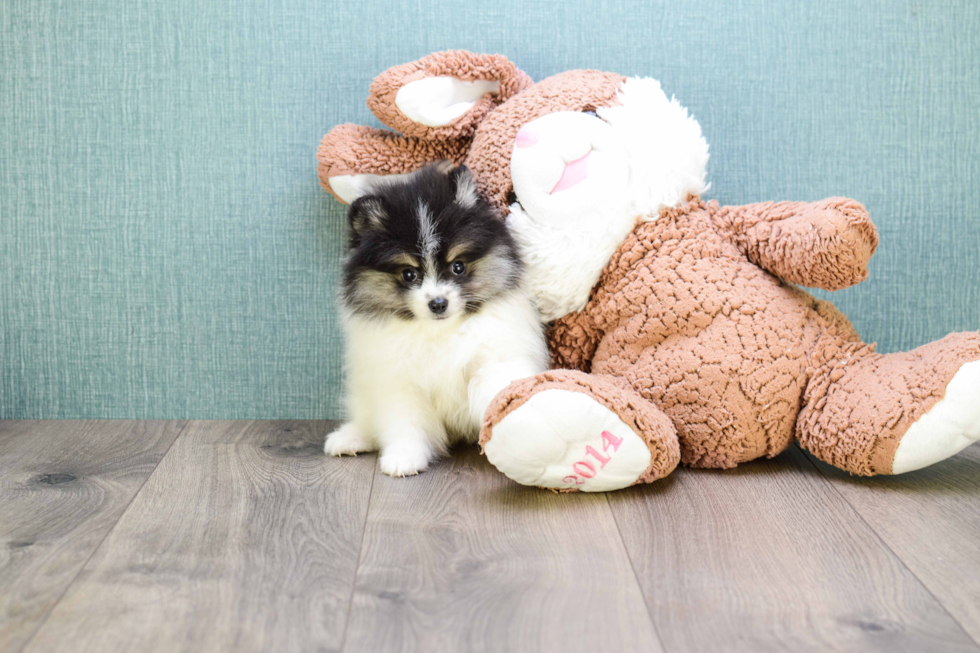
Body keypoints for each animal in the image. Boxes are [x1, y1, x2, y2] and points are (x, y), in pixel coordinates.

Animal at [326, 163, 548, 476]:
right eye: (409, 274)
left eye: (458, 267)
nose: (438, 303)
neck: (439, 332)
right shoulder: (399, 381)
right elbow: (405, 423)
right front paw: (404, 457)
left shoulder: (491, 360)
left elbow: (497, 392)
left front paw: (520, 435)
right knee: (368, 419)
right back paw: (348, 438)